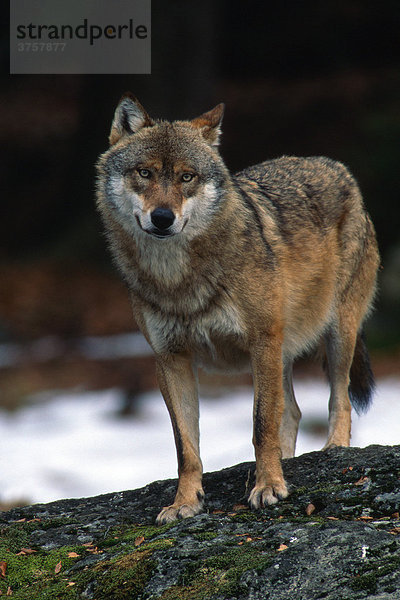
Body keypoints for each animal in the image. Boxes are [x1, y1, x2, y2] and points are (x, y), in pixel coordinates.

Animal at [95, 94, 380, 524]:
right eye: (144, 173)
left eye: (187, 177)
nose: (162, 218)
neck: (178, 279)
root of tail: (337, 167)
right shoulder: (170, 359)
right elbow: (186, 447)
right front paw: (185, 502)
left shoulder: (261, 341)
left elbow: (261, 425)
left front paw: (269, 486)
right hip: (283, 352)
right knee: (293, 412)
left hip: (335, 336)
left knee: (338, 398)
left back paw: (334, 449)